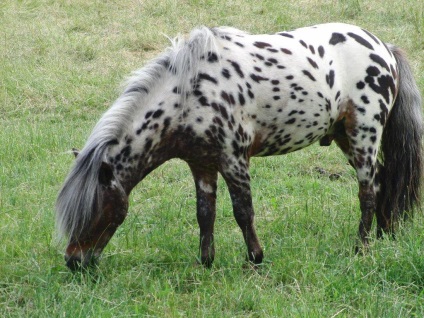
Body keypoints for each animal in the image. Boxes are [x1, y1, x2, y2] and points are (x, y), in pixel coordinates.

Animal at [57, 23, 424, 270]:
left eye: (94, 210)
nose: (74, 262)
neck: (189, 94)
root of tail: (384, 47)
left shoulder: (233, 159)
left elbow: (242, 210)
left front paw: (255, 258)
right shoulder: (201, 164)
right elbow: (205, 213)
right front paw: (206, 261)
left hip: (363, 134)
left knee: (367, 192)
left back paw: (361, 248)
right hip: (345, 137)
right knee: (381, 181)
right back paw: (384, 234)